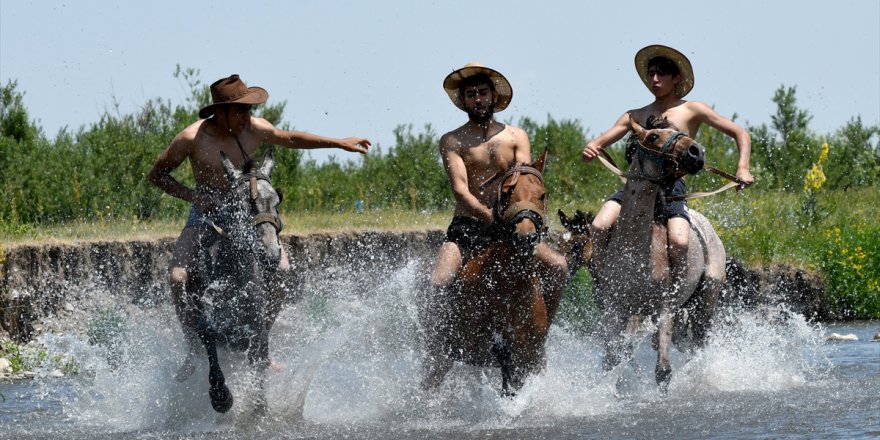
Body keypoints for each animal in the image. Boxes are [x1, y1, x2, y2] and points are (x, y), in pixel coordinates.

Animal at [187, 150, 288, 414]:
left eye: (277, 202)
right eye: (244, 203)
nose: (271, 254)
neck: (232, 275)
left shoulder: (257, 327)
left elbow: (258, 362)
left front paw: (258, 406)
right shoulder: (207, 316)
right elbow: (208, 338)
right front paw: (220, 396)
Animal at [418, 150, 556, 394]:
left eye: (542, 195)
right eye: (507, 193)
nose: (526, 238)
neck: (509, 285)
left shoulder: (527, 359)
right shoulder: (478, 347)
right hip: (438, 354)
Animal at [560, 118, 724, 390]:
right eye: (654, 136)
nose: (697, 152)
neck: (635, 251)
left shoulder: (662, 310)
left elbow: (662, 371)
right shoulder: (616, 311)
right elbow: (613, 358)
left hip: (705, 303)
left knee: (699, 346)